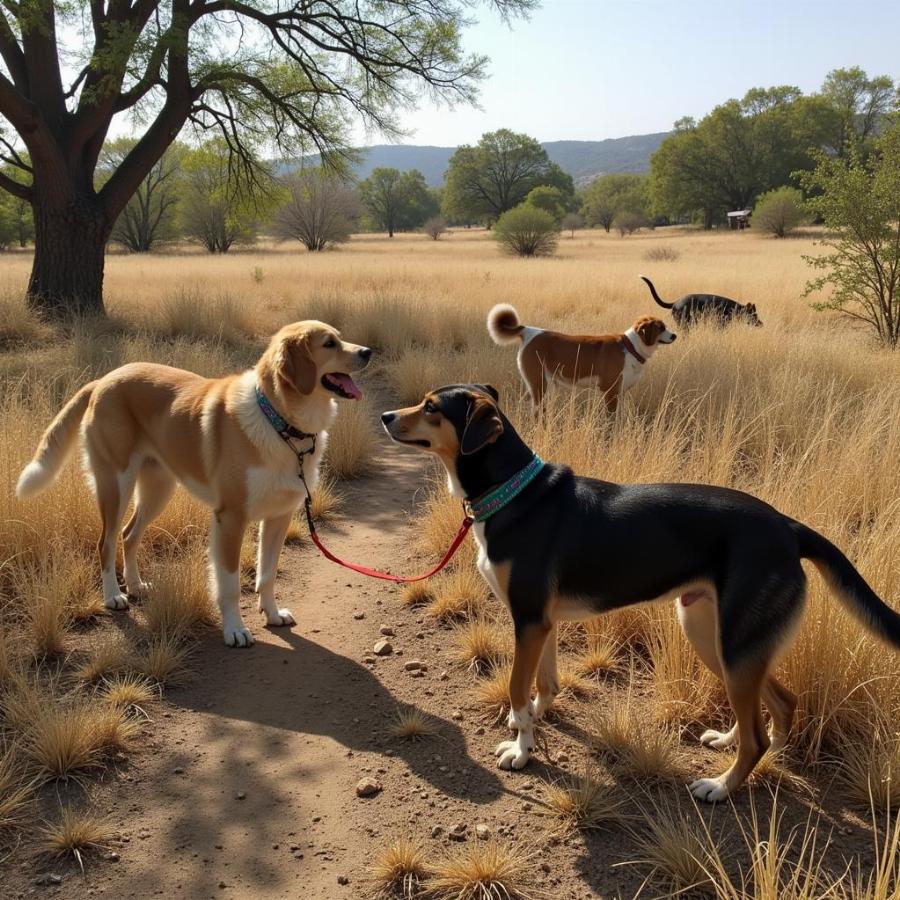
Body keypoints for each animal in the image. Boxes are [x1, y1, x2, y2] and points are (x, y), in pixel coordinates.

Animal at [16, 322, 370, 648]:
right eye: (329, 343)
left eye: (340, 338)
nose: (368, 352)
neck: (279, 422)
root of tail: (103, 380)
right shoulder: (230, 519)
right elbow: (229, 585)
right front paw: (235, 630)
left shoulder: (278, 518)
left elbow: (267, 574)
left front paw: (271, 614)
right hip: (116, 486)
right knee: (107, 541)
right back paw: (114, 596)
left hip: (157, 490)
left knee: (129, 535)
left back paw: (135, 585)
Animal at [382, 384, 900, 800]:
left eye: (431, 407)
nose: (386, 415)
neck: (513, 493)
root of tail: (788, 528)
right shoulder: (543, 624)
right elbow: (543, 685)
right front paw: (533, 718)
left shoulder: (527, 620)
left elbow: (515, 686)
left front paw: (522, 751)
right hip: (715, 635)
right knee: (778, 706)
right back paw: (731, 744)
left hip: (734, 643)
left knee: (758, 731)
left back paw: (720, 787)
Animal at [486, 306, 676, 412]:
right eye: (660, 327)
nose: (675, 335)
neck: (631, 347)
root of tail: (528, 330)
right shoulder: (610, 393)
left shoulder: (620, 394)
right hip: (540, 385)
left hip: (538, 385)